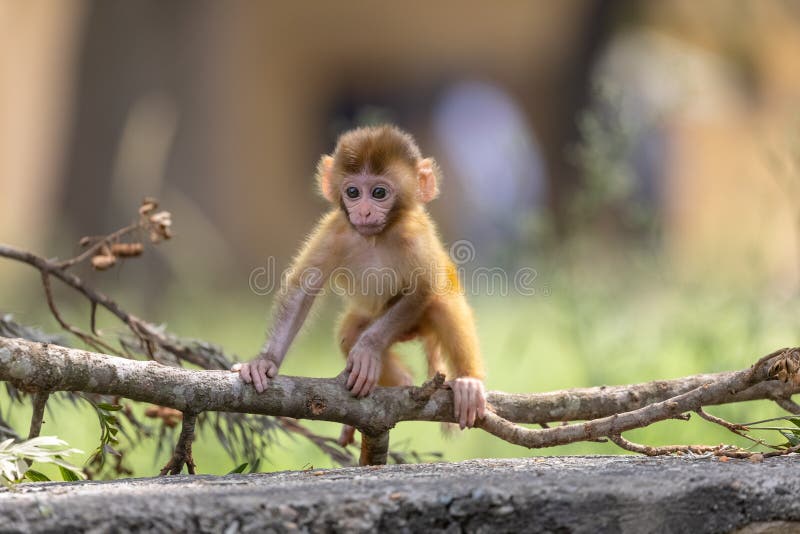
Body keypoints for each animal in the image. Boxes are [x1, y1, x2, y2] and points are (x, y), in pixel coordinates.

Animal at [232, 125, 486, 445]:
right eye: (353, 192)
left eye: (379, 193)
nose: (364, 211)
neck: (376, 237)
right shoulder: (335, 230)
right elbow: (303, 291)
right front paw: (265, 361)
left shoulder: (415, 235)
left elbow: (424, 288)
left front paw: (367, 350)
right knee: (349, 332)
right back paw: (400, 383)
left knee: (441, 305)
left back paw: (468, 381)